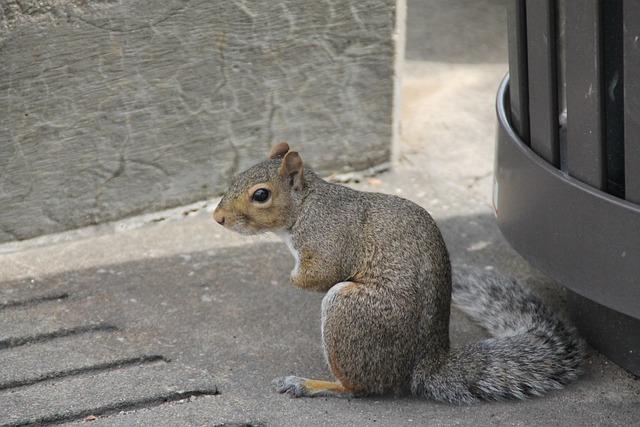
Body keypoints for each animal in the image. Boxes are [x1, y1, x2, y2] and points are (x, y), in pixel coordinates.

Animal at [212, 144, 584, 404]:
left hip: (349, 311)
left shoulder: (328, 240)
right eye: (236, 177)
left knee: (361, 387)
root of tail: (422, 365)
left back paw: (311, 384)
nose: (218, 218)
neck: (307, 206)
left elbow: (319, 274)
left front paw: (288, 278)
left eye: (261, 195)